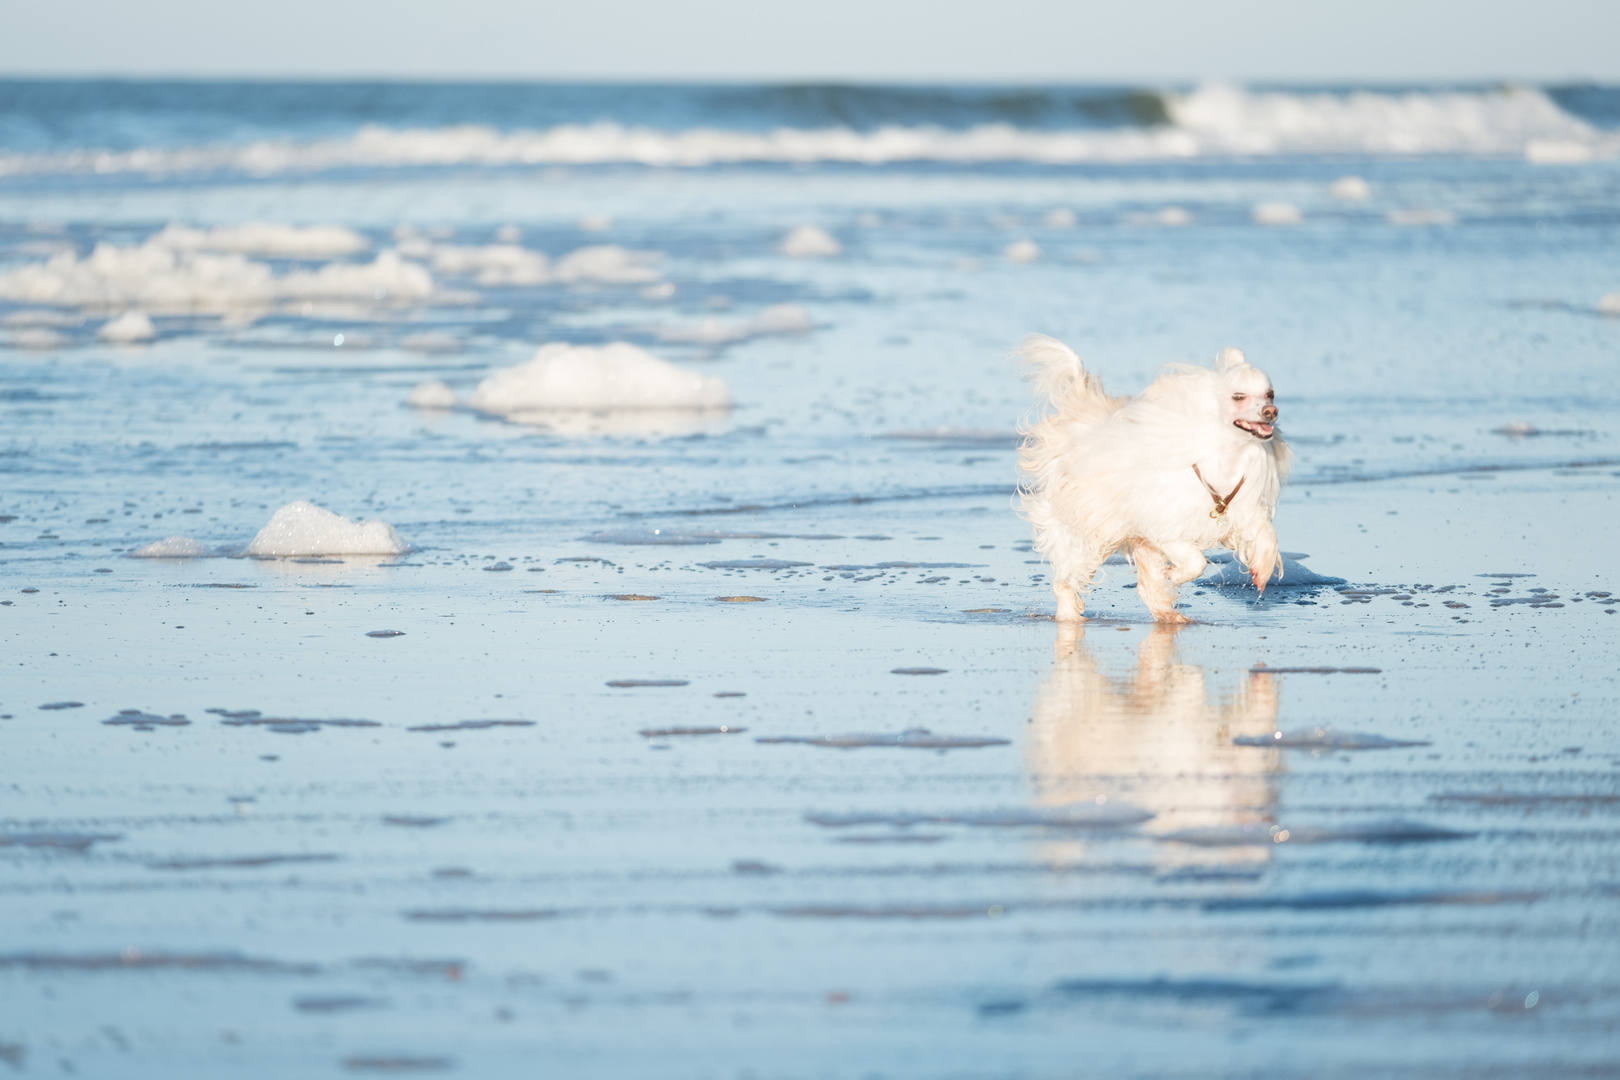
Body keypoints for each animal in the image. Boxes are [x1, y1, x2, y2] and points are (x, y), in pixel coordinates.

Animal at [1017, 335, 1296, 625]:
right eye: (1238, 397)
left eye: (1270, 394)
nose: (1271, 411)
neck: (1225, 452)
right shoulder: (1165, 528)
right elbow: (1196, 561)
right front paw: (1174, 574)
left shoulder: (1245, 512)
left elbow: (1266, 536)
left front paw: (1262, 571)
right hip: (1091, 535)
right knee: (1065, 582)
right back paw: (1070, 613)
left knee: (1146, 586)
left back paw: (1168, 614)